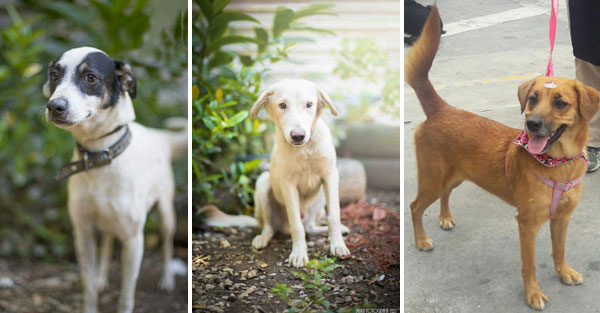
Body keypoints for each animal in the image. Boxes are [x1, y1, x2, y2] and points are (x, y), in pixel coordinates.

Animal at [43, 45, 185, 312]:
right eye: (55, 75)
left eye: (91, 77)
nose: (54, 106)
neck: (99, 156)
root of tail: (159, 135)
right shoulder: (83, 232)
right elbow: (87, 287)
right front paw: (93, 292)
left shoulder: (134, 240)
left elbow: (126, 295)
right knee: (108, 241)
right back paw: (102, 278)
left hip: (165, 212)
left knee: (166, 244)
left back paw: (167, 278)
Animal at [406, 4, 596, 310]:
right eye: (532, 98)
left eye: (560, 103)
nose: (531, 124)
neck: (558, 163)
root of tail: (441, 109)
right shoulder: (527, 225)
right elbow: (529, 266)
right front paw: (532, 294)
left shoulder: (562, 218)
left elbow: (559, 250)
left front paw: (564, 272)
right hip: (432, 179)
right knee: (414, 207)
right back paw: (421, 239)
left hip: (455, 176)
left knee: (445, 194)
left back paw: (445, 218)